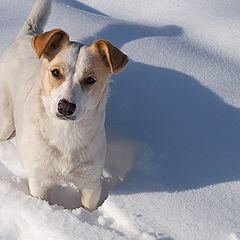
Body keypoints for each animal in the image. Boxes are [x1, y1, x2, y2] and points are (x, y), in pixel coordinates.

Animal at [0, 0, 127, 211]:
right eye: (55, 72)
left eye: (90, 79)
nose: (66, 107)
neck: (66, 134)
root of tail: (28, 35)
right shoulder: (40, 183)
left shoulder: (91, 184)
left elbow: (89, 207)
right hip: (6, 120)